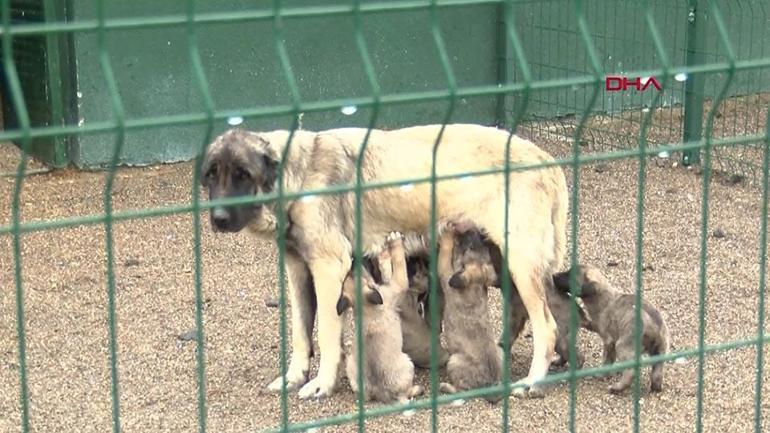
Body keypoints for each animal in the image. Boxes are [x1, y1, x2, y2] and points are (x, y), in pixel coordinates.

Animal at [334, 231, 424, 404]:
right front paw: (393, 243)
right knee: (406, 392)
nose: (354, 260)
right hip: (408, 364)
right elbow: (396, 264)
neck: (364, 307)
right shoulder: (396, 285)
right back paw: (416, 389)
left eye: (348, 274)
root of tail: (382, 393)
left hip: (351, 366)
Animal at [438, 223, 504, 402]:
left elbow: (445, 253)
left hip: (454, 361)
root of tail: (490, 383)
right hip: (501, 351)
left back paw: (446, 387)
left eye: (468, 247)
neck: (475, 286)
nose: (475, 228)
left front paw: (447, 233)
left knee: (462, 391)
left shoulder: (446, 273)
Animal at [552, 264, 664, 394]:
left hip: (622, 345)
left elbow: (607, 360)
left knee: (631, 371)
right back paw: (655, 387)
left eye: (570, 276)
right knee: (657, 372)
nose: (553, 275)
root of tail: (655, 328)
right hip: (660, 351)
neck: (602, 298)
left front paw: (602, 375)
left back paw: (617, 388)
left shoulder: (608, 341)